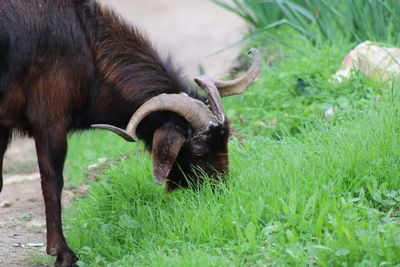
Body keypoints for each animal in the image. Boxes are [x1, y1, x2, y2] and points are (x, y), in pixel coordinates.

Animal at [0, 1, 260, 266]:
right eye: (199, 150)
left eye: (226, 139)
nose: (219, 193)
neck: (88, 47)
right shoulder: (50, 120)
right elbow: (53, 182)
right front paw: (63, 253)